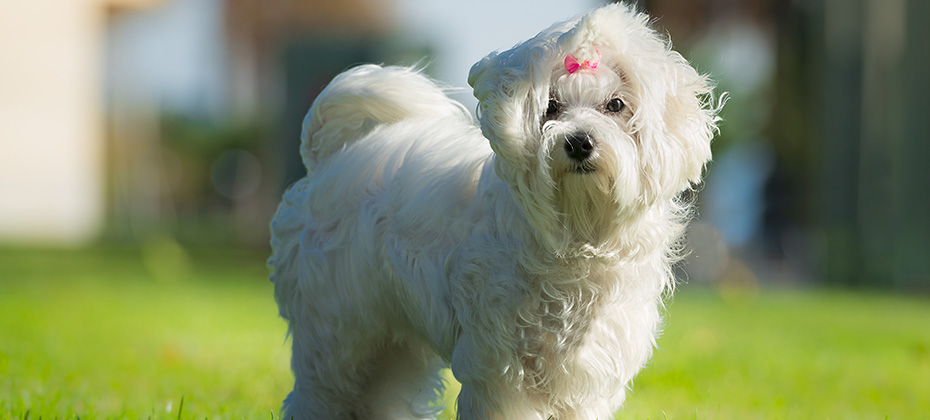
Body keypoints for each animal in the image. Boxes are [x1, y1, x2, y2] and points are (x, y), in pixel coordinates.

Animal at [266, 4, 716, 420]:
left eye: (617, 105)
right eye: (551, 106)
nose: (579, 142)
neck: (576, 233)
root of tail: (327, 161)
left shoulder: (588, 369)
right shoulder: (503, 369)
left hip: (391, 344)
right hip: (334, 336)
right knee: (322, 393)